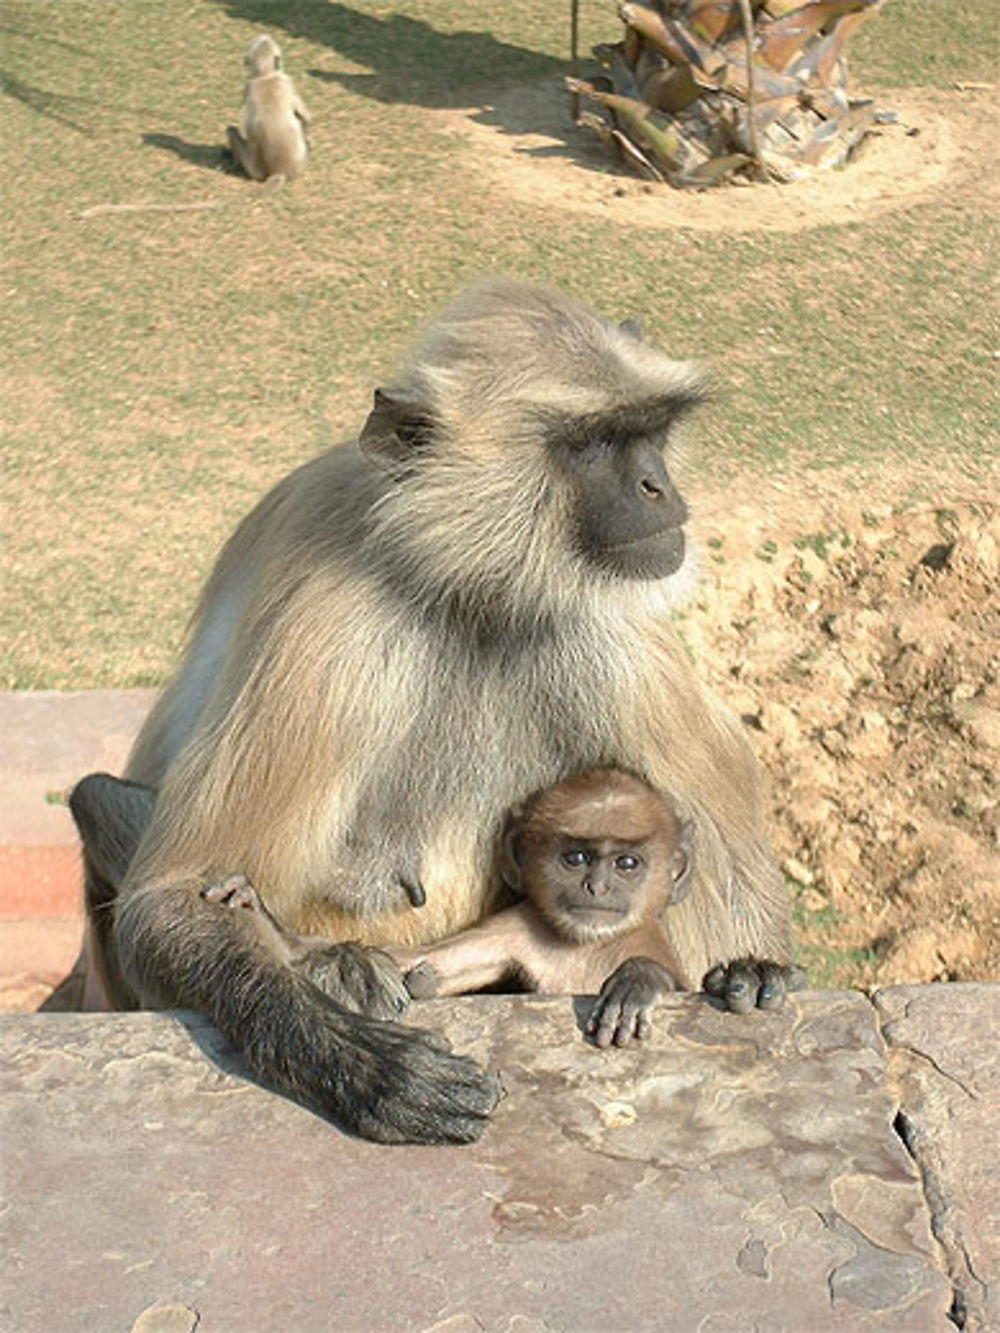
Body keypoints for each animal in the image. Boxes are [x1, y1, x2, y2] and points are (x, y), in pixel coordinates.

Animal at [229, 33, 312, 183]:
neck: (265, 76)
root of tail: (278, 171)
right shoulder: (286, 81)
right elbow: (306, 117)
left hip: (254, 170)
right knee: (231, 129)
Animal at [394, 767, 693, 1045]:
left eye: (627, 863)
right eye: (576, 858)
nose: (597, 887)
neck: (585, 948)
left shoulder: (646, 938)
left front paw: (638, 980)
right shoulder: (518, 923)